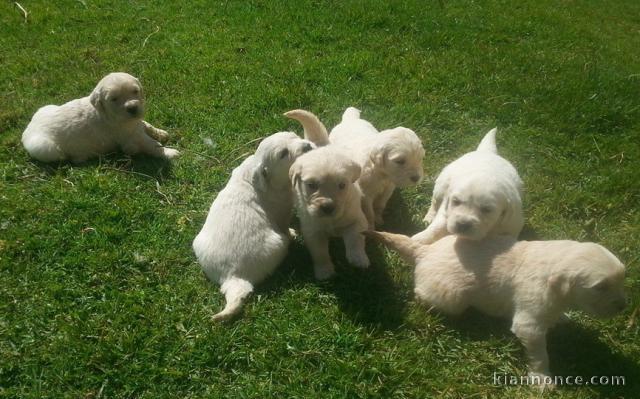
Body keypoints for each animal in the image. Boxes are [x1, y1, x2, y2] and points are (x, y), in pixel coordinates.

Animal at [21, 72, 178, 163]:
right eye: (114, 99)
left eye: (135, 91)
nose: (132, 108)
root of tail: (28, 128)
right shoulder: (132, 137)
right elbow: (152, 145)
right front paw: (169, 152)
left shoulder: (135, 124)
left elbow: (145, 124)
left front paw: (161, 133)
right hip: (44, 147)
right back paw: (80, 157)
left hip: (45, 107)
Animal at [195, 132, 316, 322]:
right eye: (283, 154)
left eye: (295, 136)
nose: (307, 146)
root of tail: (231, 277)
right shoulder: (282, 210)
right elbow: (284, 225)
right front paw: (292, 233)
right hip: (277, 244)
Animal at [284, 108, 424, 230]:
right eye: (400, 161)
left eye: (420, 158)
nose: (416, 178)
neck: (380, 173)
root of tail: (350, 119)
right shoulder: (366, 194)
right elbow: (369, 212)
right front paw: (372, 227)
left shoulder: (388, 188)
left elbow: (380, 204)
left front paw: (379, 218)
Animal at [368, 231, 628, 388]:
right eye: (601, 287)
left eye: (622, 279)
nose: (623, 306)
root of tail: (425, 251)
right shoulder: (529, 323)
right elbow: (539, 353)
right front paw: (541, 378)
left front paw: (562, 317)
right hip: (451, 296)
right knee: (426, 294)